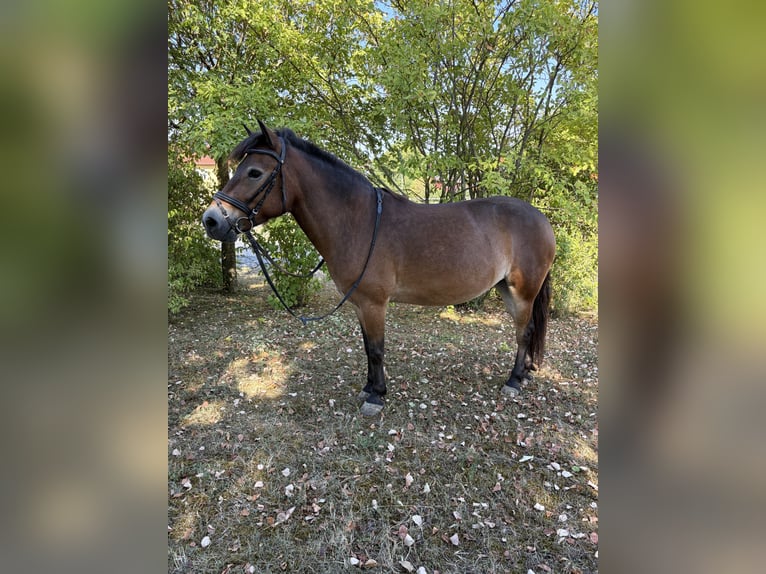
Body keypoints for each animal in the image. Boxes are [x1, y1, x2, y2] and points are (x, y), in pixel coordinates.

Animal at [202, 120, 556, 416]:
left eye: (255, 172)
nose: (211, 220)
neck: (359, 221)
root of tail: (541, 218)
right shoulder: (360, 303)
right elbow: (366, 347)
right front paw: (369, 388)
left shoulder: (374, 304)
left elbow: (376, 349)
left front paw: (376, 397)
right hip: (507, 289)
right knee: (527, 331)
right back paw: (524, 374)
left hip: (523, 291)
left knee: (524, 332)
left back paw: (513, 381)